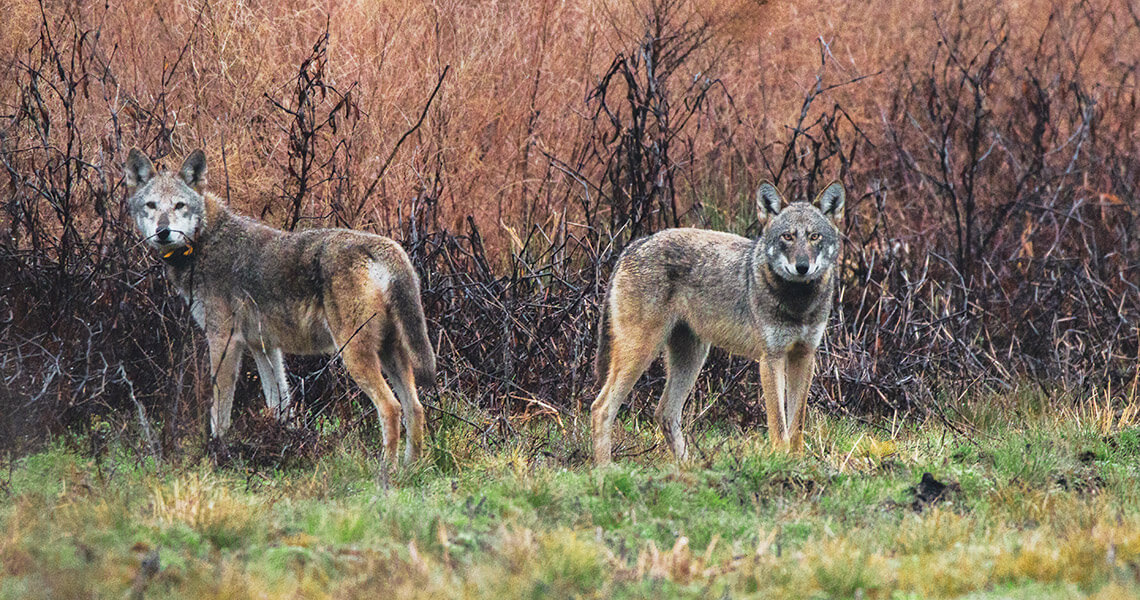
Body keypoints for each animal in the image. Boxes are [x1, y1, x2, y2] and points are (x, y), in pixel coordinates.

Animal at [123, 148, 436, 464]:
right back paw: (411, 467)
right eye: (151, 205)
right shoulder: (263, 347)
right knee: (416, 407)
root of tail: (388, 249)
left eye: (179, 205)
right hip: (390, 353)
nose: (163, 231)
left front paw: (217, 453)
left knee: (391, 407)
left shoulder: (224, 341)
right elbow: (280, 404)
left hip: (355, 355)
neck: (203, 242)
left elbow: (219, 412)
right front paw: (286, 444)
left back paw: (387, 470)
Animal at [591, 181, 844, 465]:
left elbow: (796, 426)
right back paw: (606, 469)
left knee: (664, 412)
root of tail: (633, 246)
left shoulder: (804, 356)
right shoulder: (771, 359)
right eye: (787, 237)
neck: (798, 303)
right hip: (640, 354)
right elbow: (779, 427)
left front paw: (797, 463)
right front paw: (780, 463)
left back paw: (689, 468)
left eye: (815, 237)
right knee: (601, 408)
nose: (802, 267)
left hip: (691, 358)